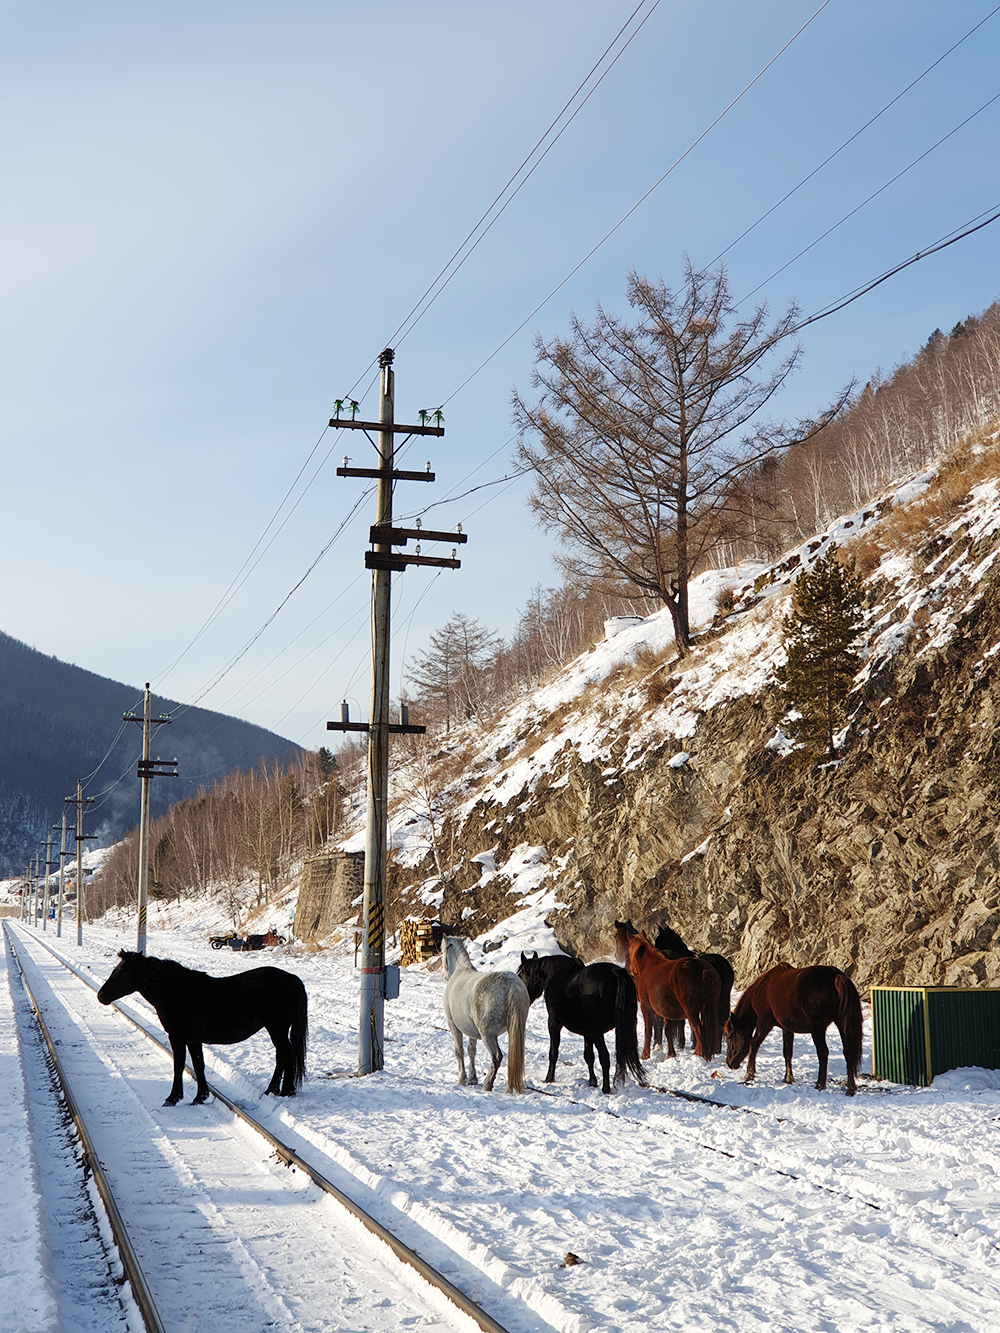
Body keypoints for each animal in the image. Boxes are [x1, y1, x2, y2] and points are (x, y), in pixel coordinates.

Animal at [100, 954, 309, 1109]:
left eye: (120, 972)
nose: (101, 996)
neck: (175, 991)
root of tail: (292, 978)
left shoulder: (177, 1037)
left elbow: (179, 1065)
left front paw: (173, 1098)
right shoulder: (193, 1040)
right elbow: (198, 1065)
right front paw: (200, 1096)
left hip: (277, 1028)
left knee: (287, 1056)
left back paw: (286, 1092)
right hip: (276, 1030)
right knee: (281, 1057)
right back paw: (271, 1091)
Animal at [442, 938, 528, 1093]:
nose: (443, 974)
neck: (460, 971)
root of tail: (512, 986)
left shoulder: (453, 1025)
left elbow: (459, 1051)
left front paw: (462, 1079)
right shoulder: (471, 1030)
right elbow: (471, 1051)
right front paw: (472, 1079)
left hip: (487, 1035)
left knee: (496, 1057)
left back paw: (487, 1084)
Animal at [517, 954, 650, 1098]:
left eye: (522, 974)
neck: (557, 975)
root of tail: (615, 972)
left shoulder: (554, 1023)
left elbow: (553, 1052)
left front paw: (549, 1079)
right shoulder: (588, 1033)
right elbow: (589, 1056)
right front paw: (592, 1082)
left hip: (598, 1033)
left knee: (605, 1057)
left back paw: (606, 1088)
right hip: (623, 1028)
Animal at [610, 922, 720, 1055]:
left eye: (616, 937)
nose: (629, 970)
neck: (649, 967)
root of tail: (704, 969)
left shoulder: (646, 1007)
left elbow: (648, 1030)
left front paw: (645, 1054)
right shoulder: (667, 1010)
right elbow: (668, 1031)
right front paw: (670, 1055)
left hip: (691, 1011)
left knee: (699, 1031)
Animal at [725, 965, 864, 1098]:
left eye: (729, 1036)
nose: (730, 1063)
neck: (762, 988)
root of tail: (836, 976)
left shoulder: (764, 1023)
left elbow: (753, 1044)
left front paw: (749, 1074)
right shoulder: (787, 1028)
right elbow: (787, 1052)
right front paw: (788, 1078)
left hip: (817, 1029)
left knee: (823, 1053)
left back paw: (820, 1085)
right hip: (842, 1024)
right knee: (848, 1052)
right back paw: (850, 1089)